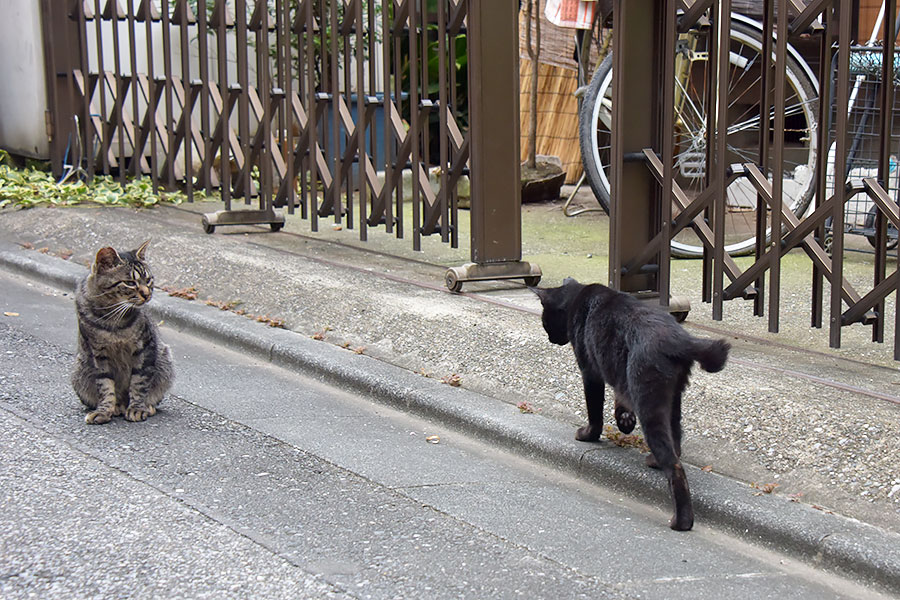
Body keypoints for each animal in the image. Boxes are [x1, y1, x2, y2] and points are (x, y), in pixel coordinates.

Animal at [72, 241, 174, 424]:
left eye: (148, 280)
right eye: (130, 283)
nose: (147, 294)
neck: (112, 319)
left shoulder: (144, 348)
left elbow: (139, 382)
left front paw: (137, 408)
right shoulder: (98, 354)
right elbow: (105, 386)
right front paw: (104, 410)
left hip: (165, 360)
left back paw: (146, 406)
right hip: (79, 371)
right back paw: (118, 407)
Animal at [536, 278, 732, 528]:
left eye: (545, 322)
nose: (550, 338)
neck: (577, 299)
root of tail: (679, 339)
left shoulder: (591, 372)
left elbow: (594, 410)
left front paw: (589, 434)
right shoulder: (618, 372)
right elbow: (620, 398)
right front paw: (625, 421)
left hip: (649, 403)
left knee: (675, 465)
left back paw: (682, 521)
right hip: (672, 402)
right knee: (676, 443)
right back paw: (655, 462)